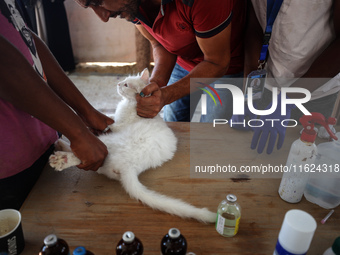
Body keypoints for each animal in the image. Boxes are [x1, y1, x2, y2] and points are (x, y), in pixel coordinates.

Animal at [48, 68, 215, 222]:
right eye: (124, 80)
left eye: (126, 84)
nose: (118, 83)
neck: (131, 104)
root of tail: (129, 166)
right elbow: (110, 117)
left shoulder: (118, 125)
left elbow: (111, 122)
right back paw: (61, 146)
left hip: (107, 143)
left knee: (84, 153)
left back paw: (61, 157)